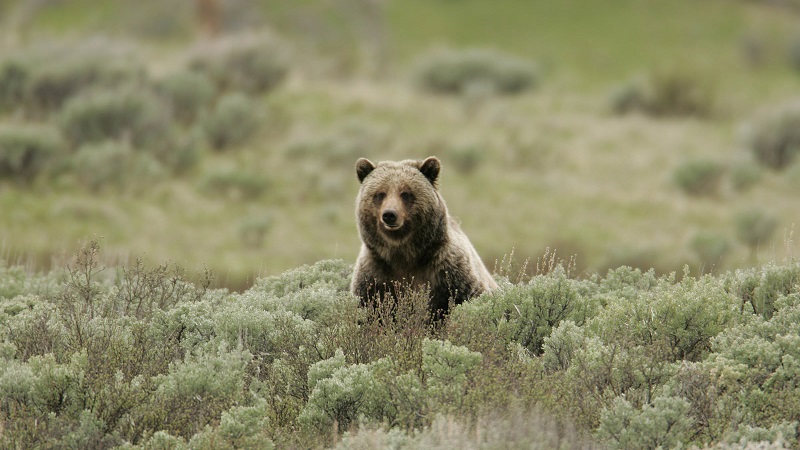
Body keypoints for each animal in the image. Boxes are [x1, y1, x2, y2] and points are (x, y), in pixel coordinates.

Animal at [352, 156, 496, 316]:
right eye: (380, 193)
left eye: (406, 193)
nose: (389, 214)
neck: (404, 254)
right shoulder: (374, 275)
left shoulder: (449, 272)